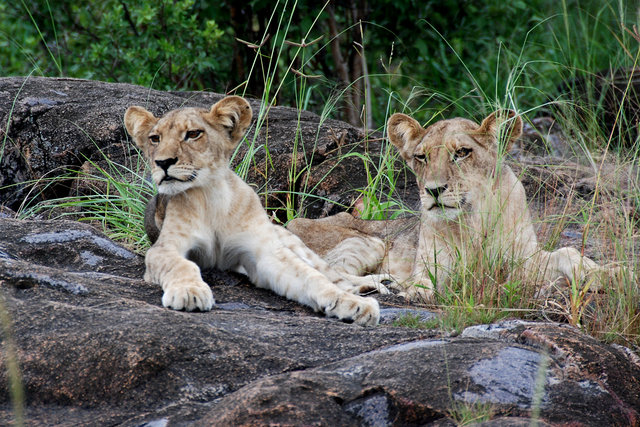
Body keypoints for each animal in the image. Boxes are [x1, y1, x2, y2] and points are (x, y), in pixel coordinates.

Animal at [125, 95, 380, 326]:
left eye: (193, 134)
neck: (211, 197)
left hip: (293, 242)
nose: (162, 163)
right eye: (155, 139)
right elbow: (182, 265)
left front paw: (352, 304)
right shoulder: (163, 248)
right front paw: (190, 292)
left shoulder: (267, 253)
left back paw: (367, 288)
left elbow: (312, 277)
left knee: (333, 273)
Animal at [288, 110, 608, 300]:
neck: (474, 218)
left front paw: (607, 274)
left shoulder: (525, 258)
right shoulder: (433, 270)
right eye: (421, 157)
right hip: (366, 241)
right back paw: (380, 285)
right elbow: (432, 286)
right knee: (330, 274)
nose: (434, 190)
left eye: (462, 152)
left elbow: (568, 253)